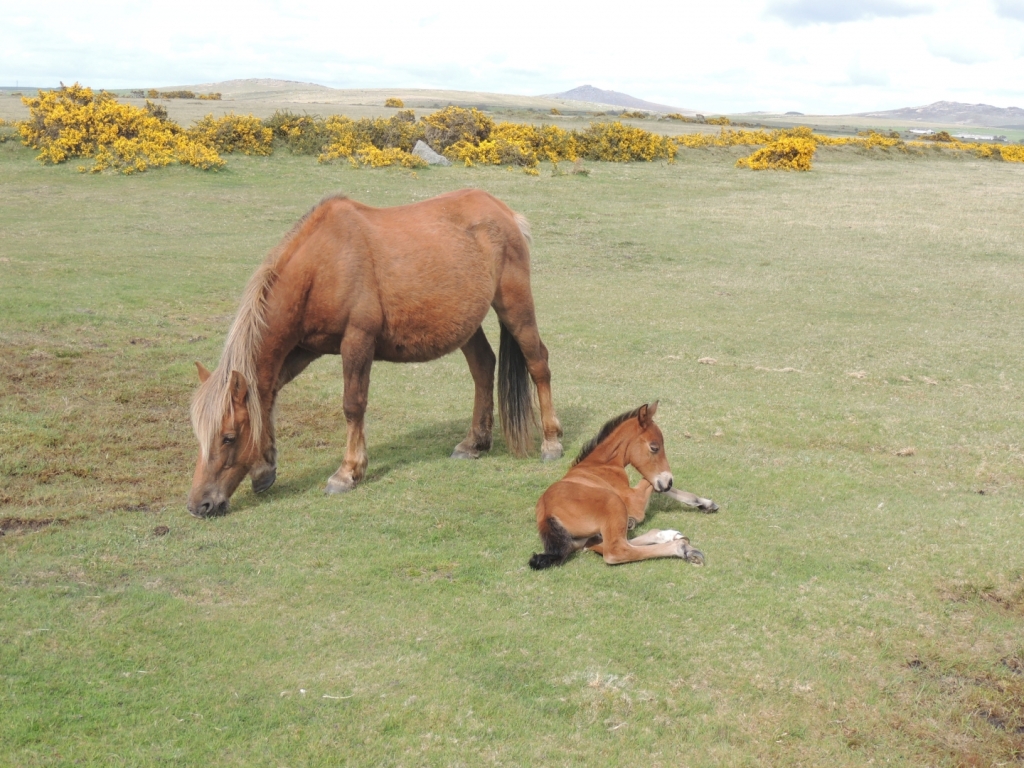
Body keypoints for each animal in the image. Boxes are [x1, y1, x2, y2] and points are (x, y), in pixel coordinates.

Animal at [188, 189, 565, 520]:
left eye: (228, 437)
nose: (199, 505)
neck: (322, 265)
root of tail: (504, 213)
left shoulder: (357, 341)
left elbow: (352, 406)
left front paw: (348, 472)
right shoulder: (300, 350)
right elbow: (267, 398)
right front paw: (264, 466)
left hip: (515, 305)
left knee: (538, 363)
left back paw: (551, 442)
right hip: (467, 324)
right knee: (484, 368)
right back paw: (474, 443)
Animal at [532, 403, 716, 573]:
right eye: (654, 447)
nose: (669, 481)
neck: (600, 465)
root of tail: (546, 517)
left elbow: (655, 485)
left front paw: (706, 503)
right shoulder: (634, 501)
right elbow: (650, 482)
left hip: (592, 536)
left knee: (610, 544)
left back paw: (668, 535)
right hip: (614, 503)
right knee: (616, 551)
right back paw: (682, 548)